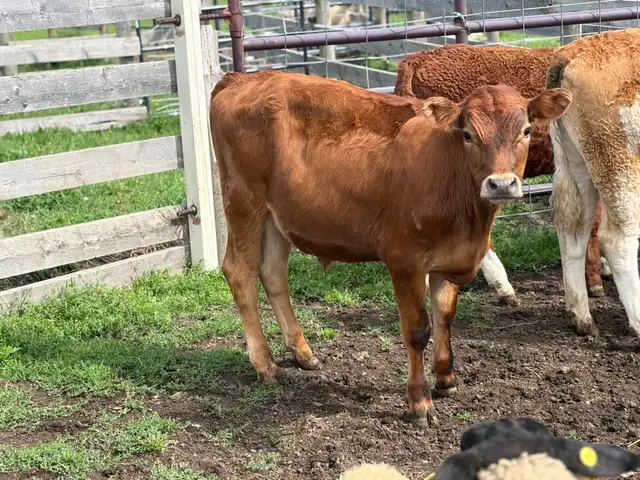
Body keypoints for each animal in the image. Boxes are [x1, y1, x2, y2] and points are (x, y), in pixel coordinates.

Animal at [209, 70, 571, 424]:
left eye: (526, 130)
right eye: (467, 134)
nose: (501, 184)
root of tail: (242, 78)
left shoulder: (450, 259)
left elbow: (445, 317)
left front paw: (446, 378)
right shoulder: (404, 260)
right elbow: (418, 329)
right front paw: (420, 402)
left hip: (277, 216)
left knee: (272, 272)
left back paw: (303, 352)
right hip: (244, 202)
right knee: (239, 272)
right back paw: (265, 364)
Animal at [547, 28, 640, 338]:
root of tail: (569, 53)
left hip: (577, 164)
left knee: (573, 228)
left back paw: (581, 317)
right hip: (619, 164)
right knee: (617, 239)